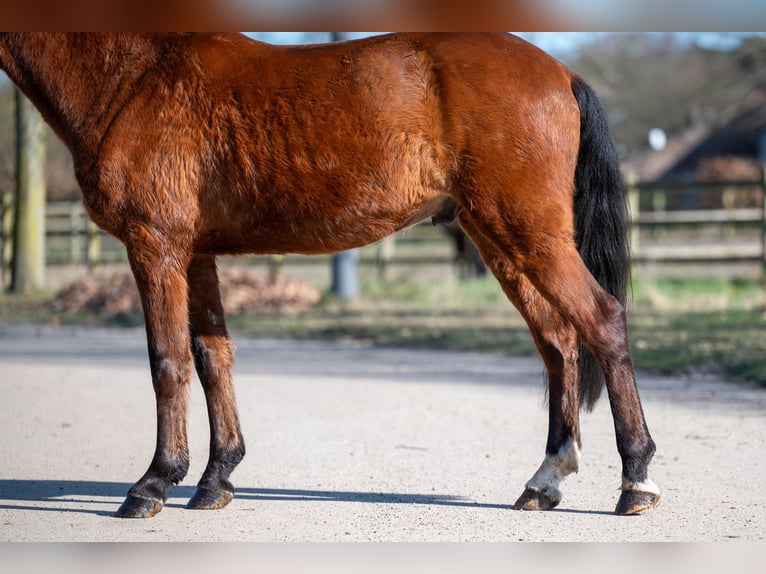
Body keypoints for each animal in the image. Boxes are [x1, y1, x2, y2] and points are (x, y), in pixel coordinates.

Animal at [0, 32, 660, 520]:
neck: (134, 75)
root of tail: (560, 73)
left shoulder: (156, 245)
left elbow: (168, 362)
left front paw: (154, 483)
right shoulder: (197, 254)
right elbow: (213, 357)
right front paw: (216, 479)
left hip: (529, 235)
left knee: (602, 322)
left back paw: (636, 482)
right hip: (500, 240)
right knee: (558, 343)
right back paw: (545, 481)